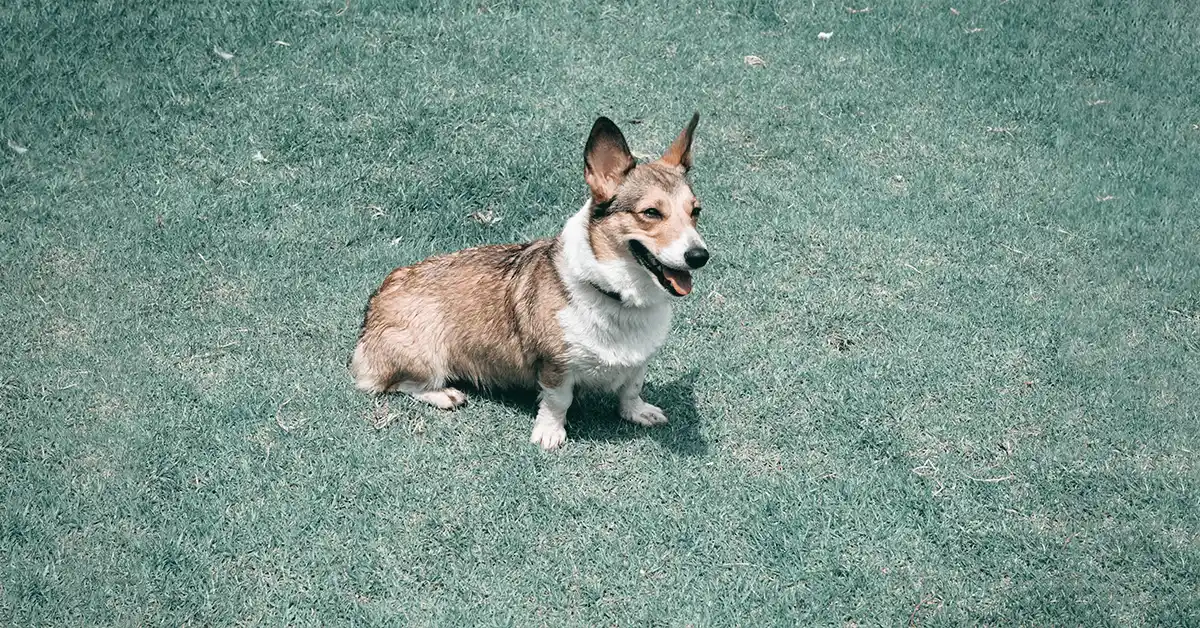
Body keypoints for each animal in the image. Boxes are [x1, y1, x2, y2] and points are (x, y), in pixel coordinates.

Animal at [348, 111, 705, 446]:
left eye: (695, 211)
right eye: (651, 213)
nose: (700, 256)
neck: (616, 296)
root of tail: (378, 298)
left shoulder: (639, 361)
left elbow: (631, 388)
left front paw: (638, 412)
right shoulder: (556, 366)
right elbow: (558, 401)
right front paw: (549, 433)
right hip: (425, 355)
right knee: (391, 383)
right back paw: (443, 393)